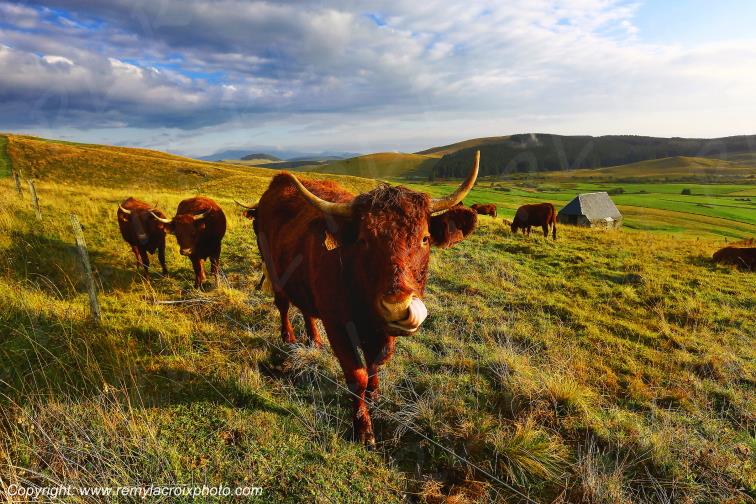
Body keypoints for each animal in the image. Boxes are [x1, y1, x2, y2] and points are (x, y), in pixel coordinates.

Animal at [252, 151, 481, 445]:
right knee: (282, 304)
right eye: (363, 240)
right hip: (273, 268)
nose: (397, 307)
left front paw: (374, 394)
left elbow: (376, 361)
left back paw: (314, 340)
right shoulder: (338, 325)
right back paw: (289, 338)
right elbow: (356, 374)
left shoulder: (382, 332)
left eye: (425, 238)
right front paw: (362, 427)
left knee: (307, 310)